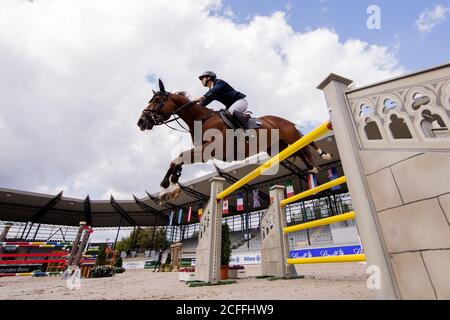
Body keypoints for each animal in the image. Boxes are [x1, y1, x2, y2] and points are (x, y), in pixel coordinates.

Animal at [135, 80, 332, 205]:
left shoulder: (208, 150)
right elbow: (177, 160)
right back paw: (313, 168)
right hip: (278, 148)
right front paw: (169, 188)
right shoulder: (203, 152)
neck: (201, 119)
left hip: (291, 136)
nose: (141, 122)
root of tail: (282, 120)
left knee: (306, 143)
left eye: (158, 100)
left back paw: (323, 156)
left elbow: (178, 157)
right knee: (300, 152)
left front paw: (169, 188)